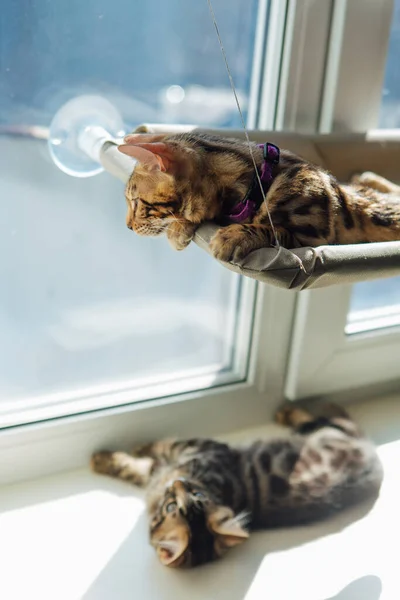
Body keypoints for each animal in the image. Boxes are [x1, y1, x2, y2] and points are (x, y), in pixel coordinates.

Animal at [90, 404, 382, 568]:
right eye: (172, 505)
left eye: (196, 494)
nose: (179, 482)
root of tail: (375, 464)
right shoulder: (160, 473)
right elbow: (135, 467)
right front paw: (105, 460)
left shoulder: (199, 448)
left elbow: (162, 445)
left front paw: (134, 448)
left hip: (328, 432)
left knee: (333, 419)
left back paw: (288, 411)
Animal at [119, 130, 400, 262]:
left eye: (136, 202)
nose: (128, 226)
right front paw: (180, 228)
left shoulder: (316, 238)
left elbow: (274, 231)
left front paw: (236, 235)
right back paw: (367, 175)